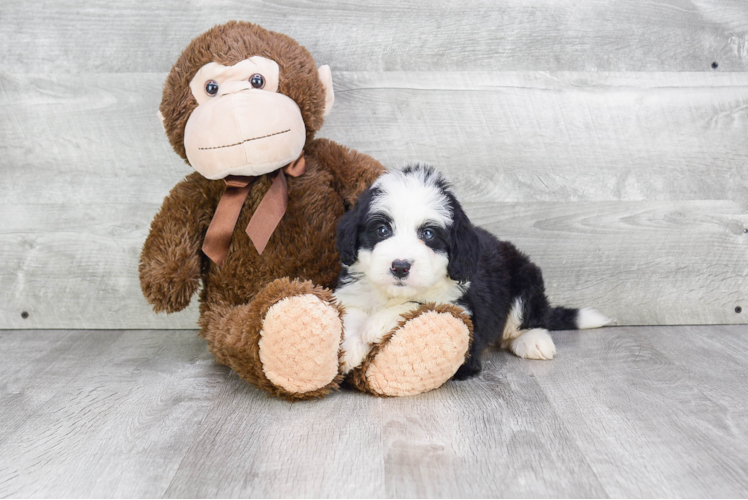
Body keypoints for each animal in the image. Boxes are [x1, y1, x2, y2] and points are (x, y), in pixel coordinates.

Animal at [336, 164, 612, 378]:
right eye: (382, 230)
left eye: (429, 234)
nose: (400, 266)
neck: (392, 294)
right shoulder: (352, 292)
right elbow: (349, 313)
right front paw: (349, 348)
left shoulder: (466, 318)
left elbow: (425, 302)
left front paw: (379, 322)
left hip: (525, 276)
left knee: (532, 317)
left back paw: (533, 340)